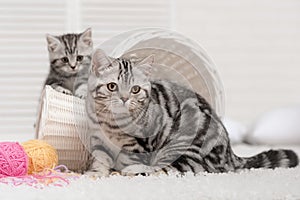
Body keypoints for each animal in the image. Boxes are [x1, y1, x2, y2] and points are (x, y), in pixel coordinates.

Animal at [85, 48, 298, 177]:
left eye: (135, 90)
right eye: (112, 86)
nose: (124, 98)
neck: (111, 124)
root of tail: (231, 154)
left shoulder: (140, 143)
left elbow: (130, 158)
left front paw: (122, 171)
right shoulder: (98, 141)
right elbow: (100, 159)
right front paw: (95, 174)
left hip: (184, 144)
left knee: (178, 169)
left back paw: (137, 170)